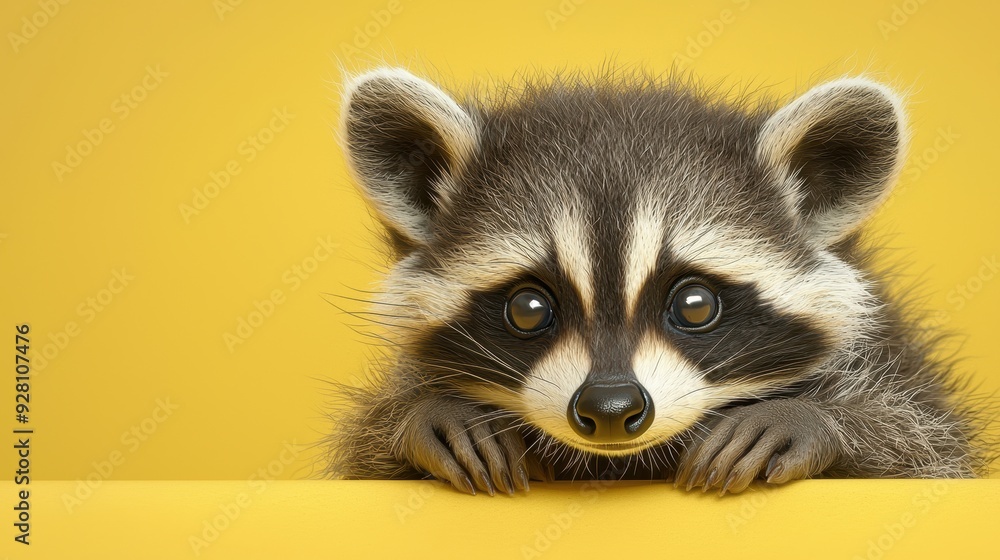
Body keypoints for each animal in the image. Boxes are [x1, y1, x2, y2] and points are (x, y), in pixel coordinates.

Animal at [325, 66, 990, 495]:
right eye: (528, 309)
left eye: (695, 304)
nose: (610, 407)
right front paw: (423, 416)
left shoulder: (899, 367)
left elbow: (928, 449)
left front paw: (818, 420)